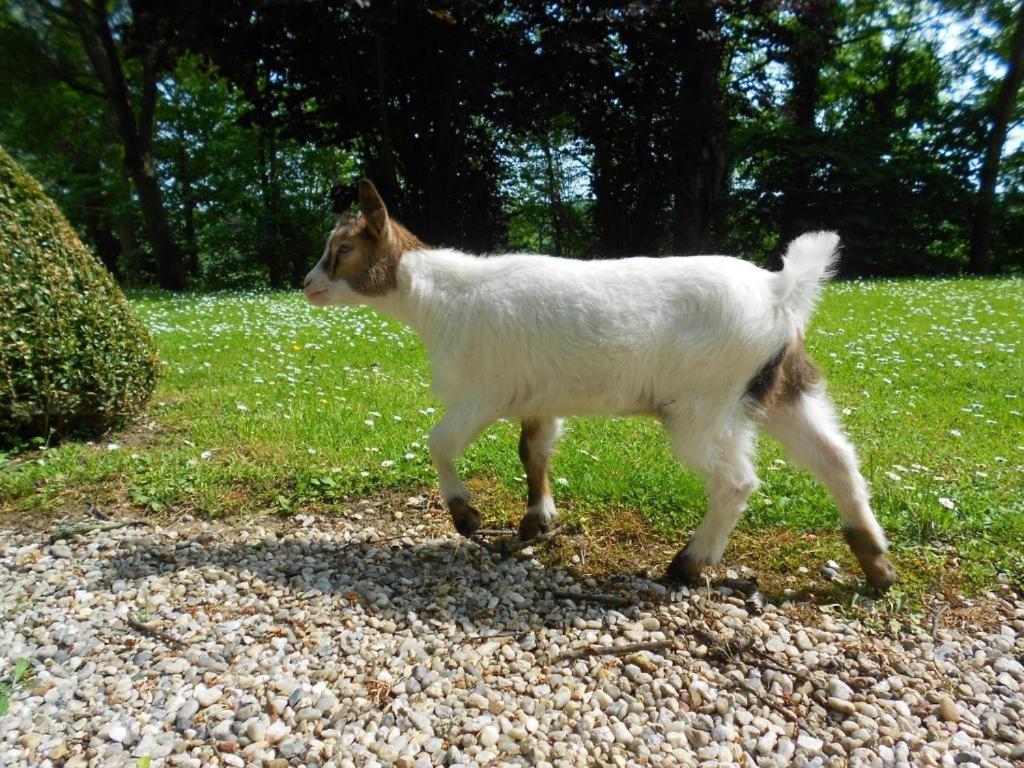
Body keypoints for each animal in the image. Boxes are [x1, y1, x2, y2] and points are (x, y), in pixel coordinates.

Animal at [303, 180, 897, 589]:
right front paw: (538, 521)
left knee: (737, 481)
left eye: (343, 250)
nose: (307, 285)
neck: (439, 299)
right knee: (836, 458)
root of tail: (781, 292)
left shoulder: (482, 393)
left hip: (706, 402)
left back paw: (689, 565)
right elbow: (533, 451)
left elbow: (439, 441)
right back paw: (876, 563)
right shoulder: (539, 397)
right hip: (779, 390)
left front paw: (466, 516)